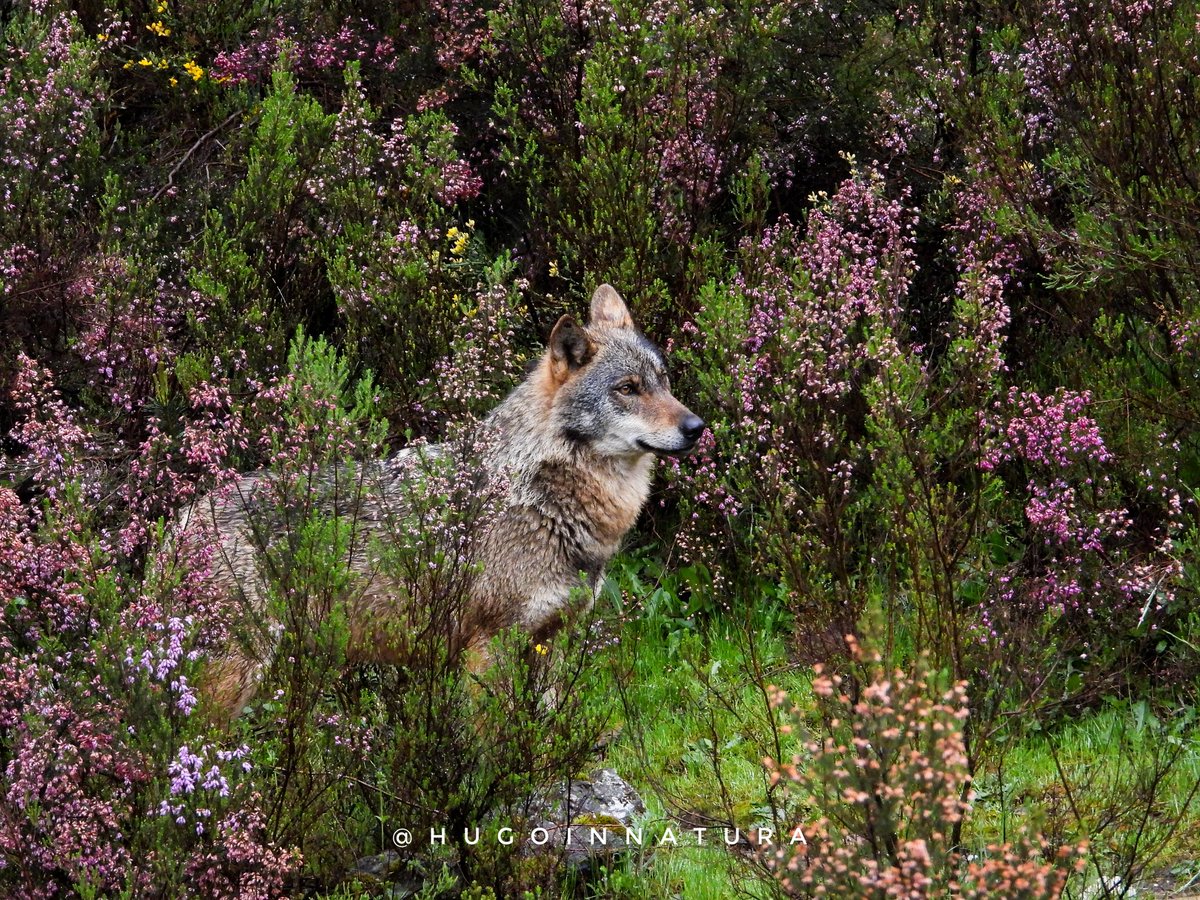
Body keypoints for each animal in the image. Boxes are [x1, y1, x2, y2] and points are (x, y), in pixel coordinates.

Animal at [182, 285, 704, 718]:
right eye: (628, 389)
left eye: (664, 381)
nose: (697, 427)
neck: (546, 495)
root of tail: (182, 519)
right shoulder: (490, 646)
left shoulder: (550, 642)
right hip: (233, 676)